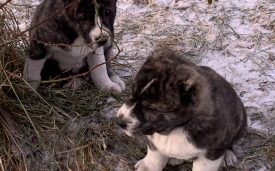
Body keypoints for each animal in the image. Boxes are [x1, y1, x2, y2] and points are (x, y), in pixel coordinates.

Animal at [116, 48, 248, 171]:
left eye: (151, 109)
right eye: (132, 92)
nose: (119, 122)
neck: (176, 129)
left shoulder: (210, 152)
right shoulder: (153, 137)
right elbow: (154, 152)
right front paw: (149, 166)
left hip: (240, 124)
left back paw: (227, 155)